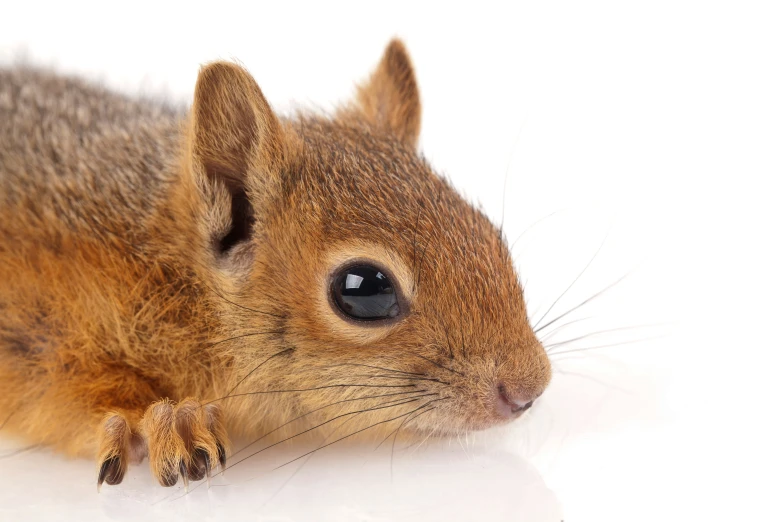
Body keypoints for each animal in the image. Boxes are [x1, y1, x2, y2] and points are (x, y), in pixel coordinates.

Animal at [0, 39, 552, 488]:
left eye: (491, 234)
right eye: (364, 289)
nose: (529, 389)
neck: (169, 272)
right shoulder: (40, 322)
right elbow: (67, 379)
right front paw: (159, 416)